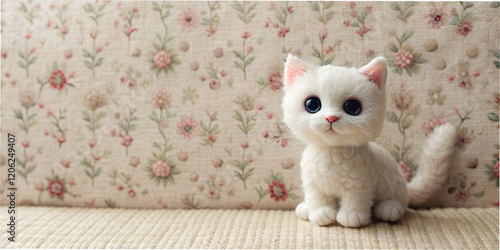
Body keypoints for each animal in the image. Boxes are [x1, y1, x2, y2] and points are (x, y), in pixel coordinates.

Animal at [282, 55, 458, 228]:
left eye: (352, 107)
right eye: (312, 104)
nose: (331, 118)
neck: (332, 152)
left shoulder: (360, 183)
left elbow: (355, 201)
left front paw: (352, 217)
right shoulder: (313, 184)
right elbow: (318, 200)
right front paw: (321, 214)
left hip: (392, 187)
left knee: (399, 203)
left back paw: (389, 208)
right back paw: (305, 208)